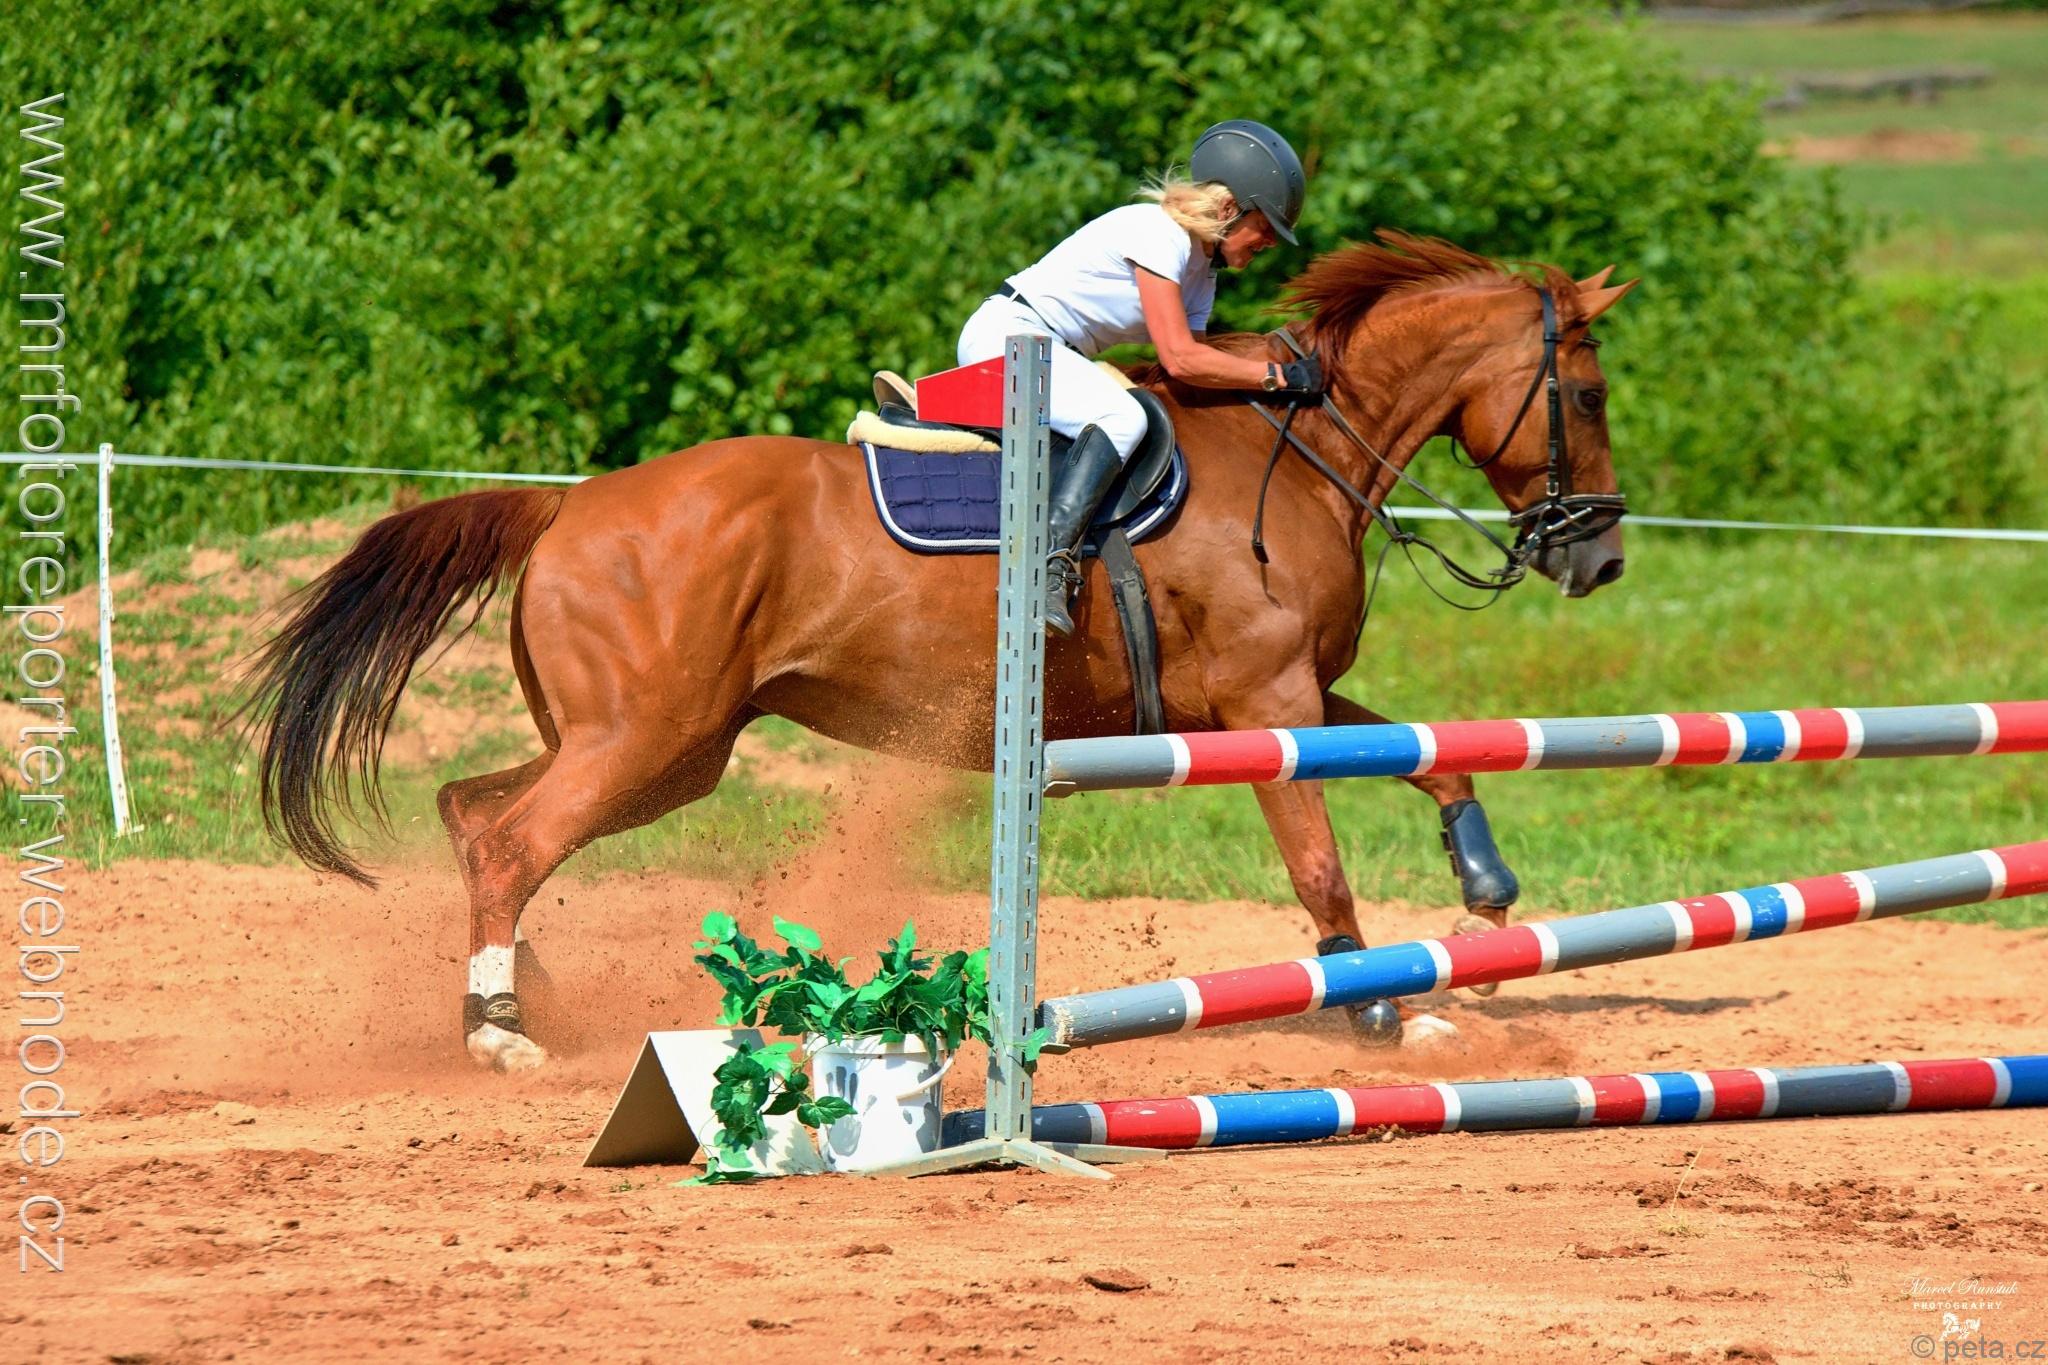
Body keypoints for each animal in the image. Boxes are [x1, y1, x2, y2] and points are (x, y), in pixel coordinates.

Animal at [242, 230, 1635, 1071]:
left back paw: (511, 992)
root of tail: (567, 507)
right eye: (1584, 395)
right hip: (649, 738)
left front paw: (1483, 897)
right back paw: (499, 1033)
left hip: (652, 748)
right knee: (512, 841)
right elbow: (1318, 866)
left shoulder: (1289, 693)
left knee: (473, 813)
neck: (1298, 449)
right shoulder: (1262, 697)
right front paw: (1380, 1009)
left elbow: (1433, 760)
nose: (1600, 560)